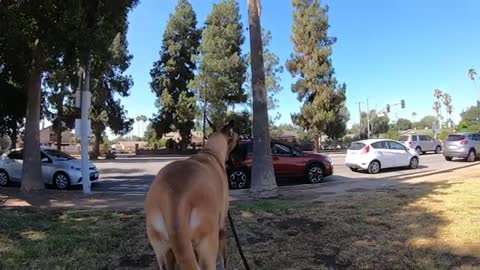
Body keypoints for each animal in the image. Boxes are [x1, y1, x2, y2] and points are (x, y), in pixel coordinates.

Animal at [144, 121, 238, 270]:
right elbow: (224, 258)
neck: (211, 152)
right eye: (238, 140)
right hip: (207, 246)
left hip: (163, 251)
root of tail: (175, 198)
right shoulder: (222, 228)